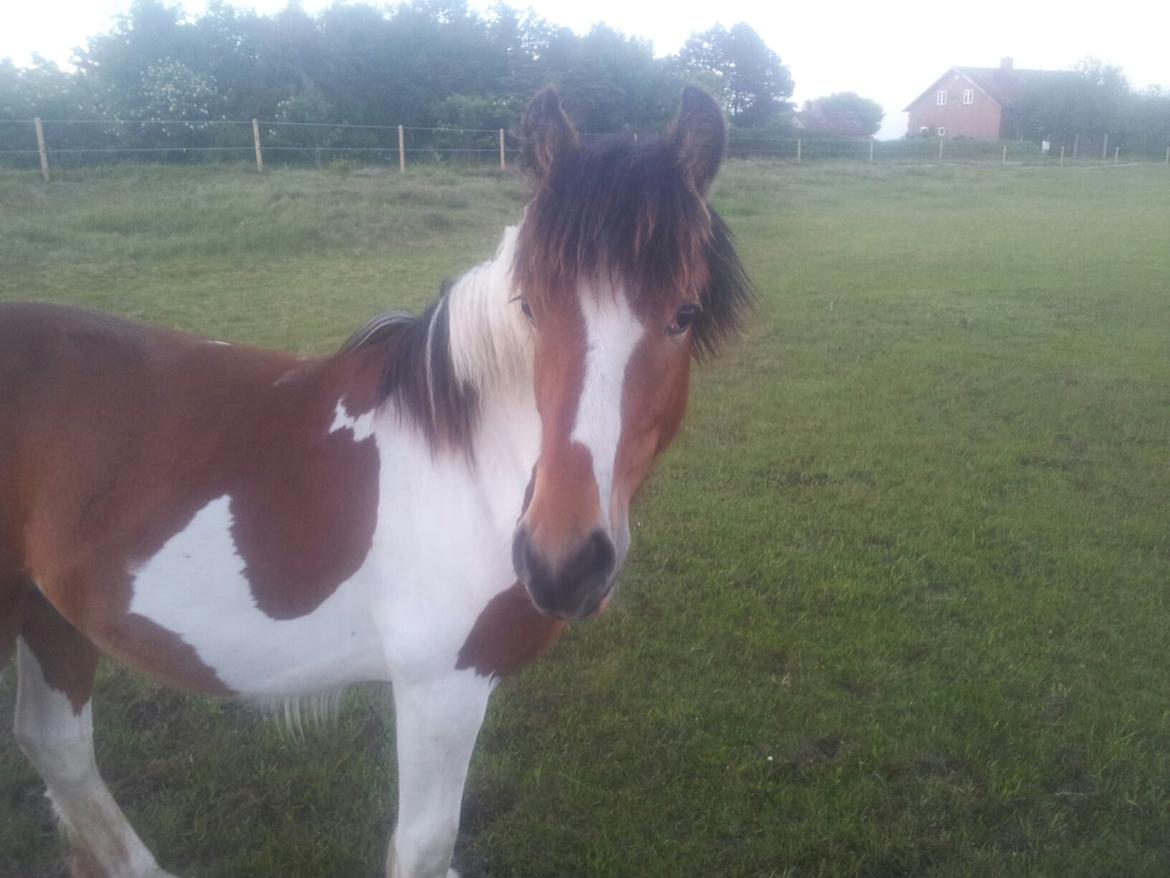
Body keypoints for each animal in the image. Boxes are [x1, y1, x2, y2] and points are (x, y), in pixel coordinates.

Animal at [0, 87, 748, 878]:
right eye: (529, 306)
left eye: (684, 314)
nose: (562, 562)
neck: (476, 470)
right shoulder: (441, 688)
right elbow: (422, 846)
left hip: (47, 613)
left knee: (57, 747)